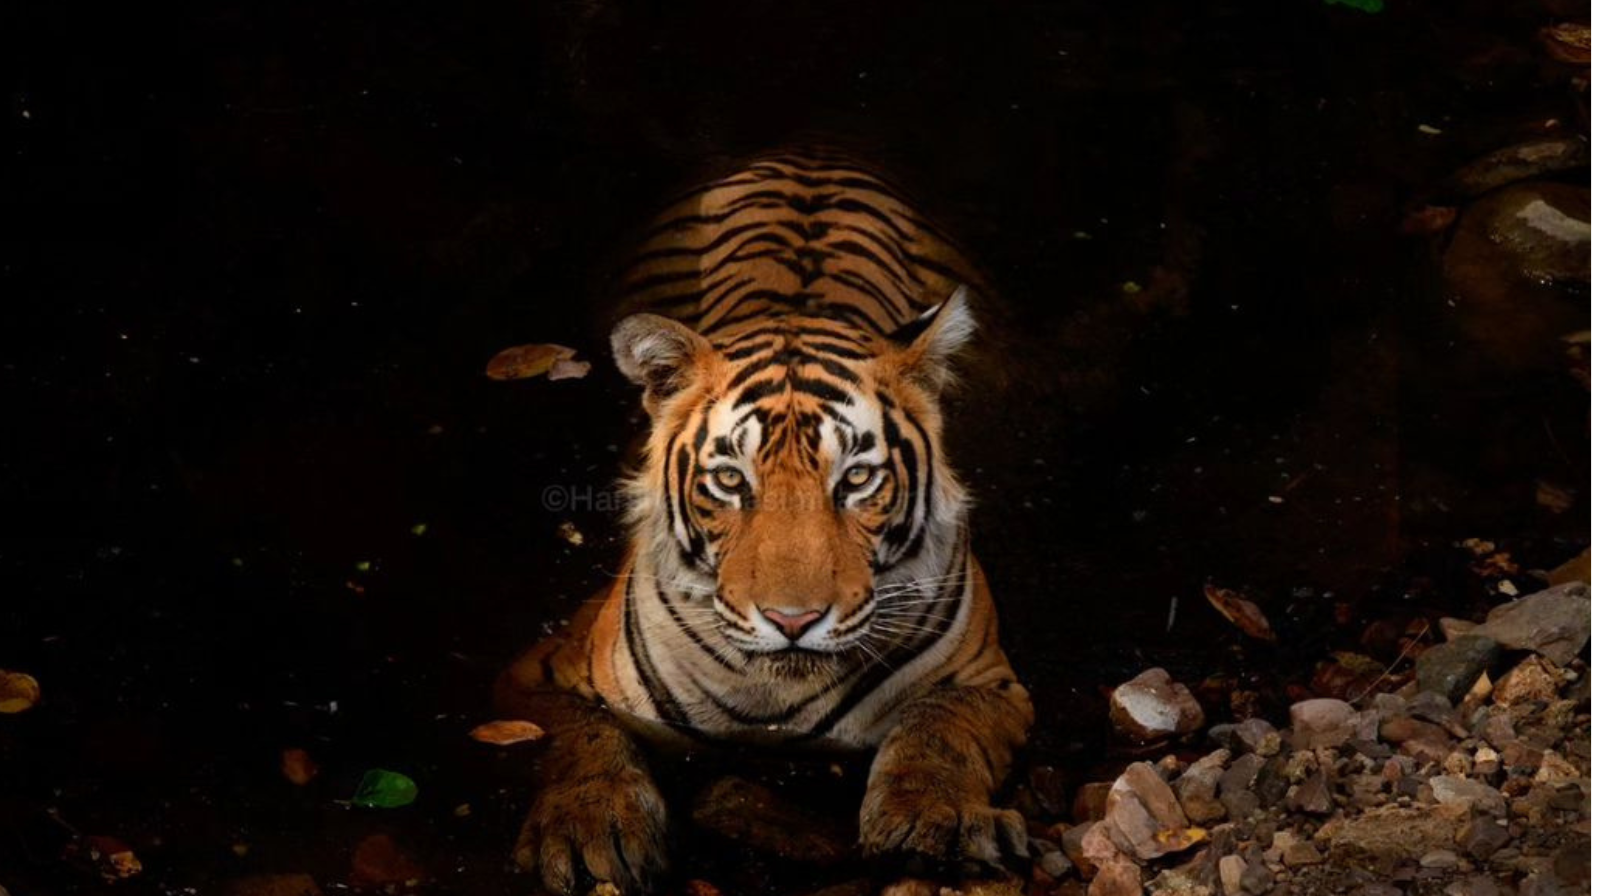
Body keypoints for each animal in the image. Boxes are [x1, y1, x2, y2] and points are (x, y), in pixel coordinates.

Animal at [494, 148, 1034, 894]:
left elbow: (938, 730)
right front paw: (587, 826)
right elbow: (579, 738)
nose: (792, 621)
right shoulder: (538, 675)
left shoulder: (987, 683)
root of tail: (809, 154)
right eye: (729, 480)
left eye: (856, 478)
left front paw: (940, 818)